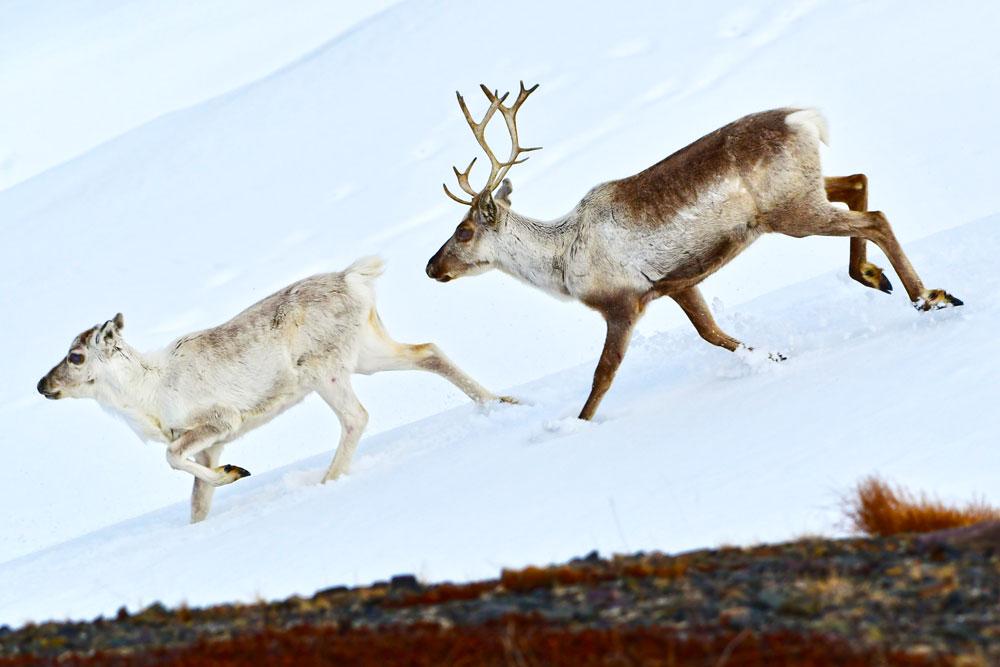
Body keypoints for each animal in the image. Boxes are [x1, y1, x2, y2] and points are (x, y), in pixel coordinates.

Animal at [39, 258, 508, 524]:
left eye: (76, 356)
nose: (43, 385)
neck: (146, 397)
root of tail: (353, 278)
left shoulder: (218, 422)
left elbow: (171, 457)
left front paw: (237, 473)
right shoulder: (212, 445)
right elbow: (197, 504)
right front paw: (223, 484)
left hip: (325, 370)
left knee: (356, 417)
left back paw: (326, 481)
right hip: (366, 354)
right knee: (428, 351)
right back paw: (500, 401)